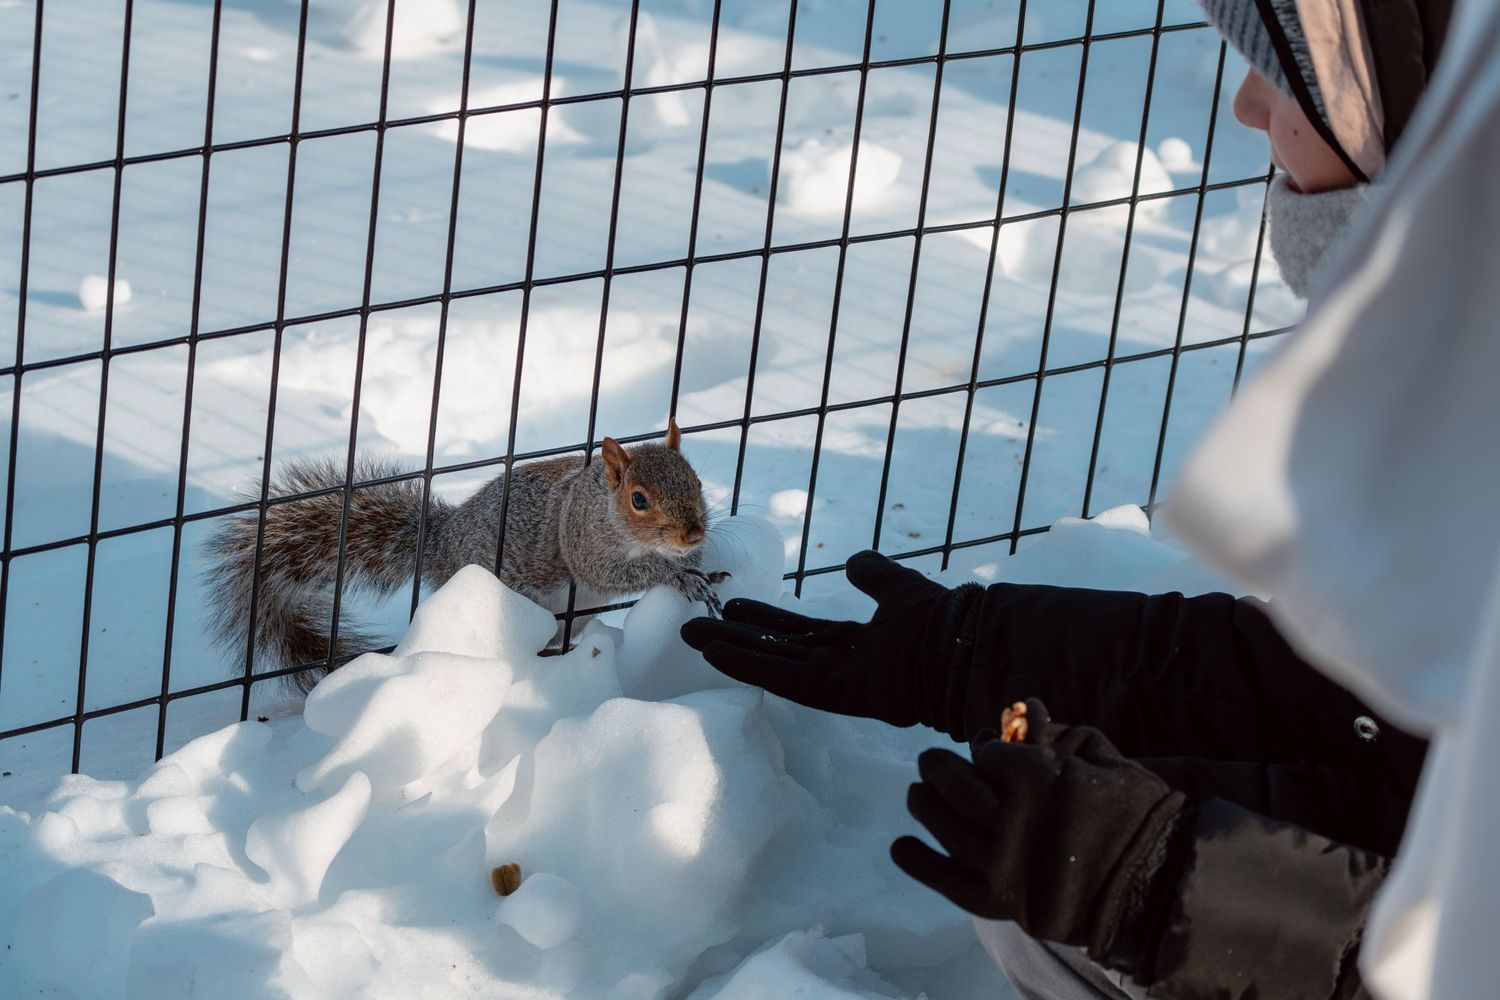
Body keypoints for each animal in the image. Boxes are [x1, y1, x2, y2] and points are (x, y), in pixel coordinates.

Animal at [204, 418, 723, 692]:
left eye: (697, 480)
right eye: (638, 499)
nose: (693, 534)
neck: (601, 506)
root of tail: (442, 544)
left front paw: (700, 567)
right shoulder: (584, 545)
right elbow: (618, 572)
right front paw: (677, 575)